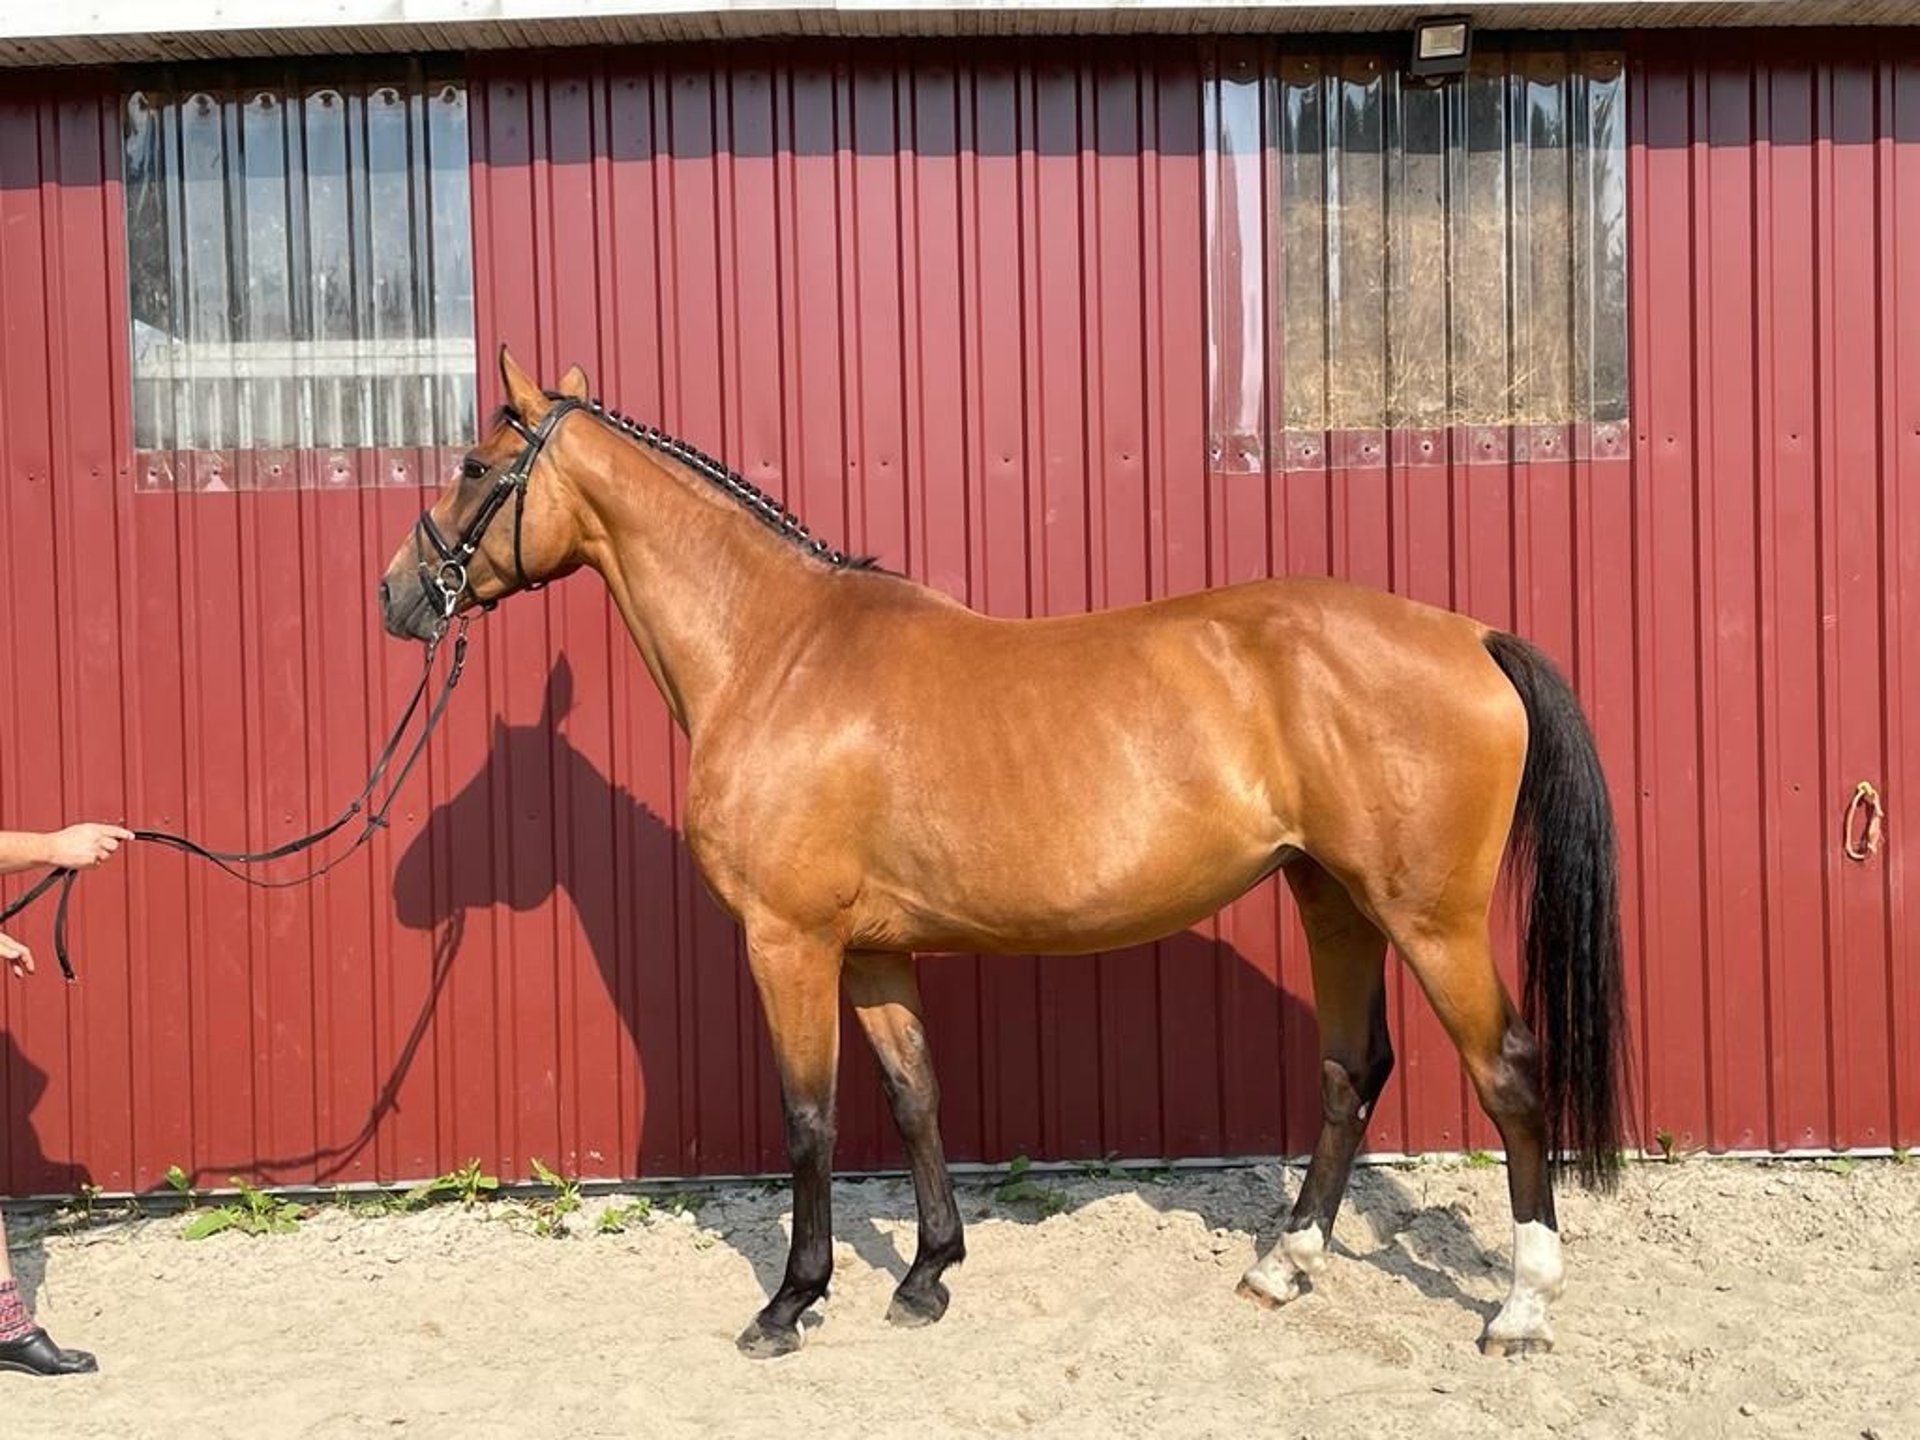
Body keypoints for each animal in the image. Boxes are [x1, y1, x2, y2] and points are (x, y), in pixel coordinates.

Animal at [374, 353, 1620, 1367]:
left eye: (478, 465)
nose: (396, 593)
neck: (776, 653)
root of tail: (1470, 637)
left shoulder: (790, 942)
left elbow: (810, 1116)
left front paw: (791, 1302)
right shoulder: (874, 953)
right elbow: (916, 1095)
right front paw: (928, 1277)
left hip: (1430, 920)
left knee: (1509, 1073)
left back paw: (1520, 1310)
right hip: (1334, 900)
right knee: (1351, 1071)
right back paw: (1282, 1267)